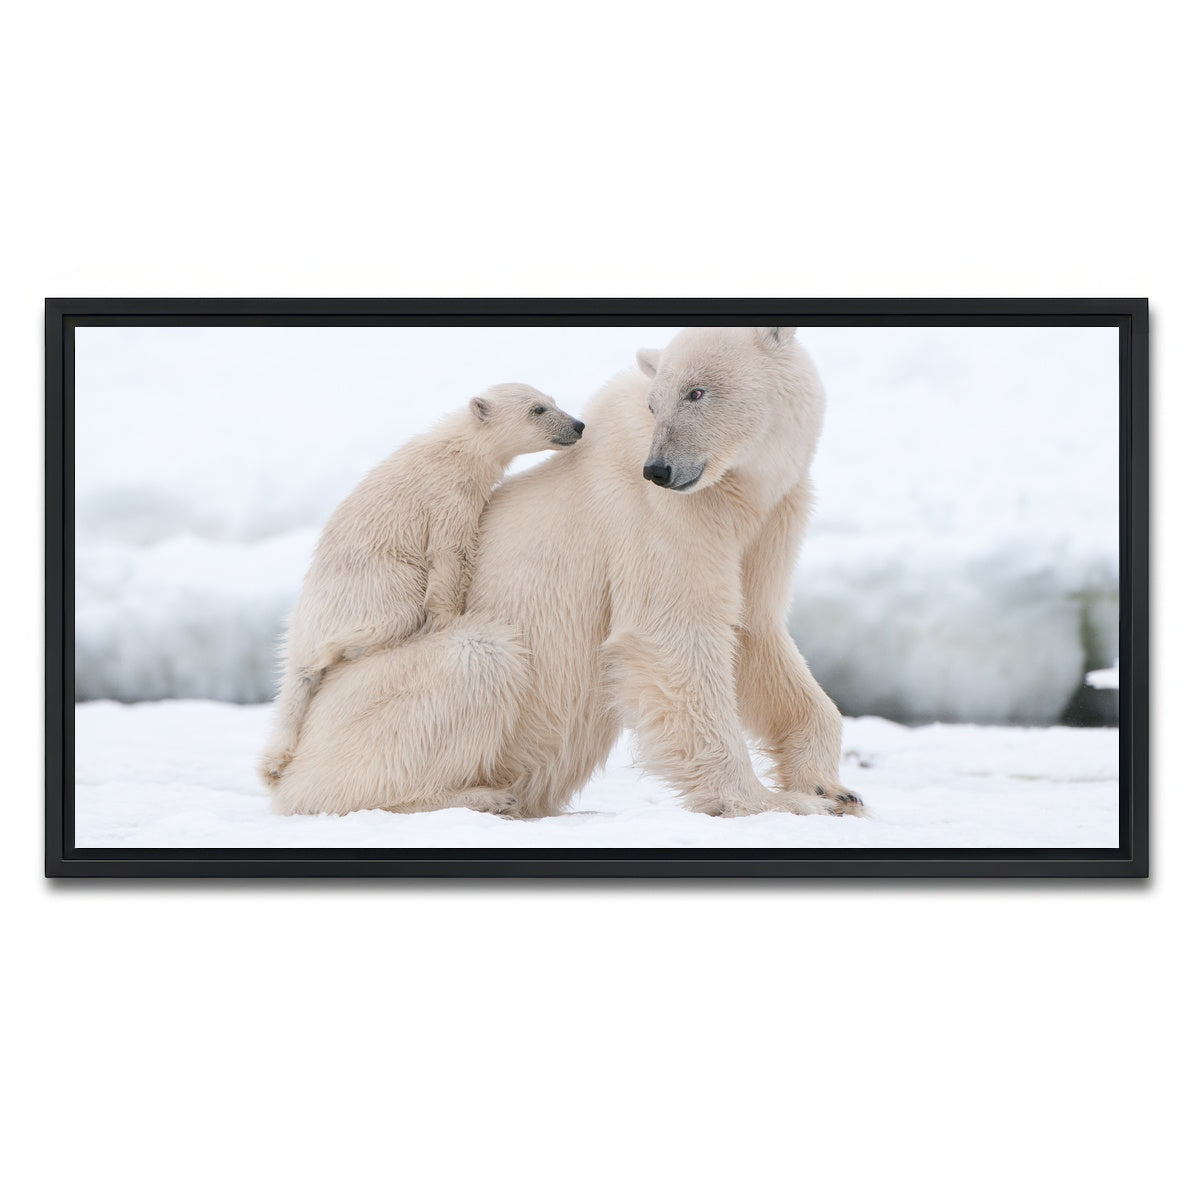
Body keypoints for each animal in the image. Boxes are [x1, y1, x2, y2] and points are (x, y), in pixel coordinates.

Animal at [257, 382, 585, 789]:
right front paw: (449, 617)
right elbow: (449, 552)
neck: (458, 448)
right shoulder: (447, 496)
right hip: (374, 587)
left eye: (552, 401)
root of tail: (302, 629)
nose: (578, 425)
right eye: (537, 409)